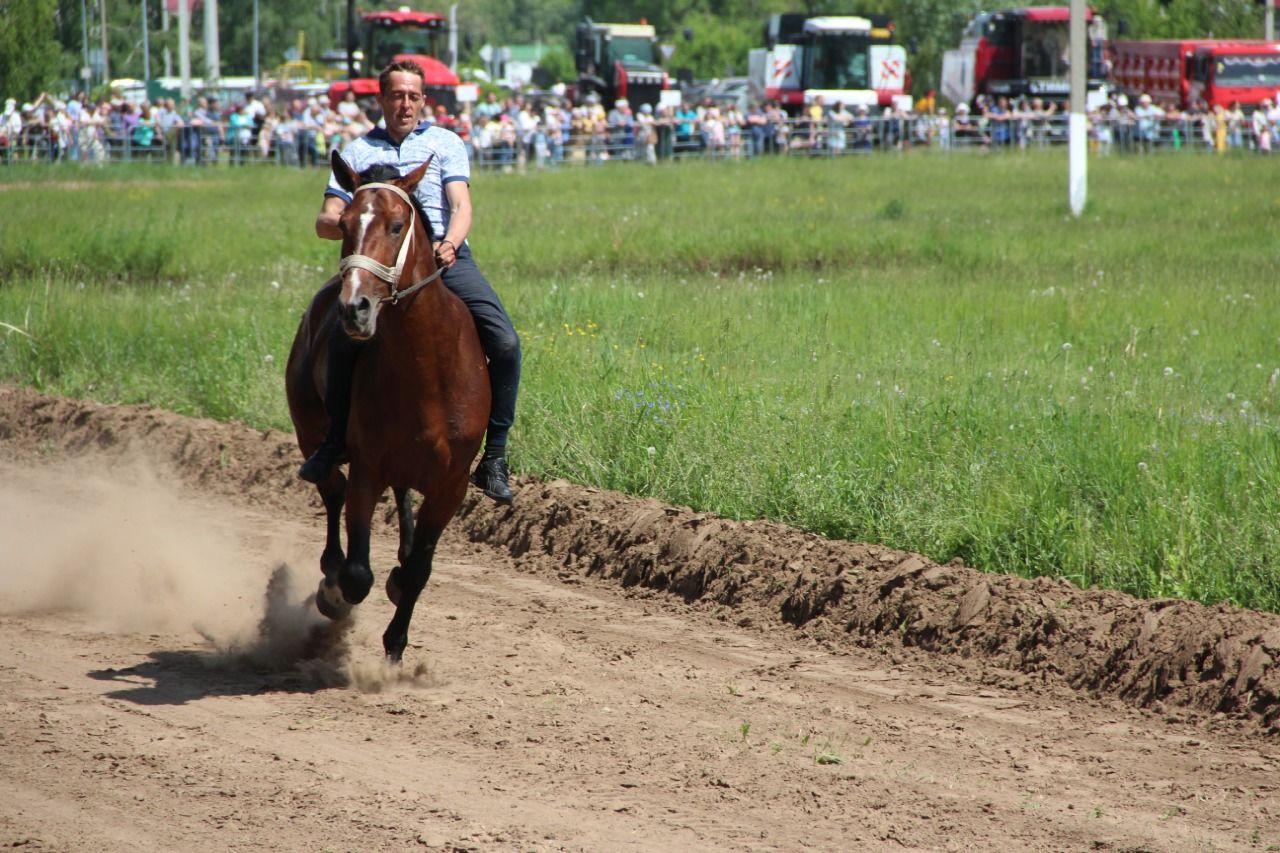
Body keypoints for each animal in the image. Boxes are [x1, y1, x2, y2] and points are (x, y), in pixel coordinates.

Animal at [285, 149, 488, 660]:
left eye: (397, 226)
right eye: (344, 224)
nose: (354, 307)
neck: (428, 370)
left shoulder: (451, 485)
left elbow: (418, 571)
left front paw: (396, 640)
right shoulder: (367, 469)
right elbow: (358, 573)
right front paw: (334, 595)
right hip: (310, 432)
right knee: (331, 489)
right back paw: (330, 573)